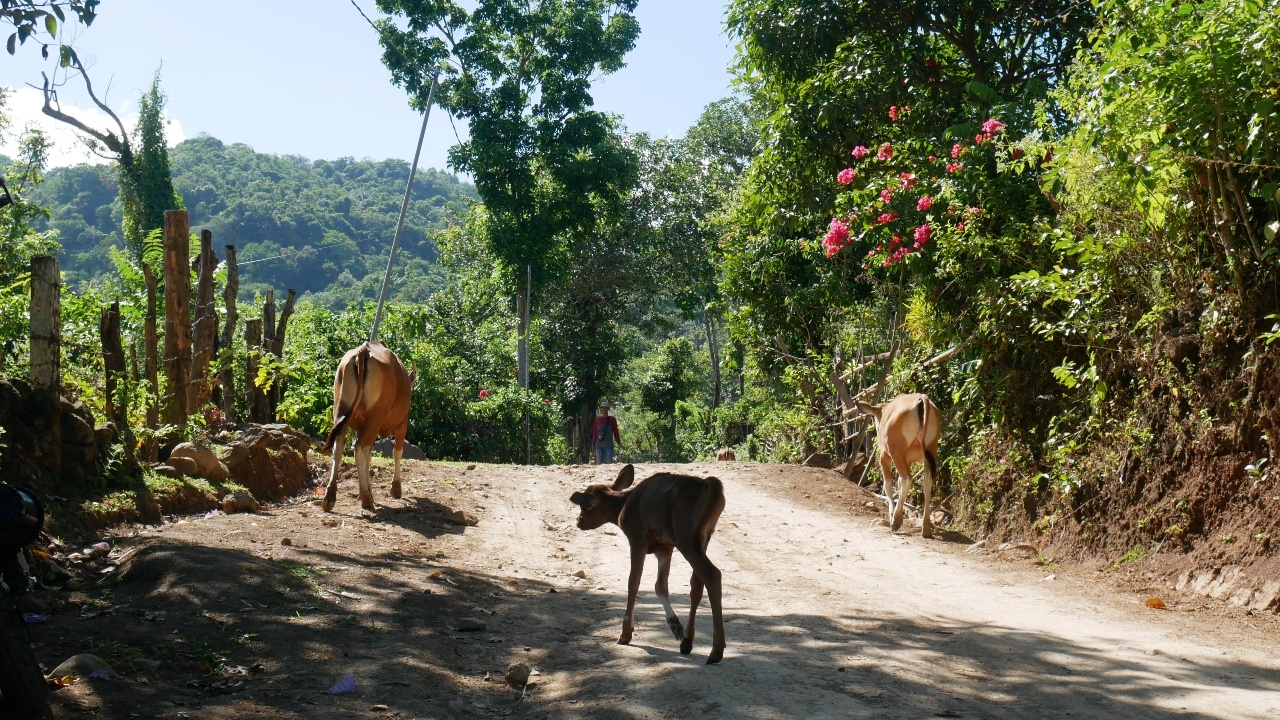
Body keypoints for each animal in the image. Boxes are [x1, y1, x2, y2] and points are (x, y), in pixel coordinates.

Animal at [320, 341, 415, 512]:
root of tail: (363, 351)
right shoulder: (401, 425)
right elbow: (397, 453)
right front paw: (395, 488)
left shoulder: (361, 427)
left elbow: (369, 457)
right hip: (375, 417)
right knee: (359, 449)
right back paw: (366, 499)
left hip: (340, 411)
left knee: (339, 448)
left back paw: (330, 497)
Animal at [570, 464, 727, 664]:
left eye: (586, 506)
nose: (578, 521)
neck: (621, 508)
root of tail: (710, 485)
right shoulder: (664, 547)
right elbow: (660, 586)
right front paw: (675, 624)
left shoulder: (637, 539)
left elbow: (633, 582)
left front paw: (625, 633)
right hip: (704, 537)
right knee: (697, 584)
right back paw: (687, 641)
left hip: (686, 538)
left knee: (712, 574)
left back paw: (716, 650)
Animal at [855, 393, 941, 538]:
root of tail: (922, 399)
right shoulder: (909, 460)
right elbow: (899, 483)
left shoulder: (884, 456)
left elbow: (888, 484)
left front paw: (891, 515)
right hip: (931, 450)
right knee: (927, 483)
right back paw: (926, 528)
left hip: (896, 452)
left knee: (907, 479)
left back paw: (896, 521)